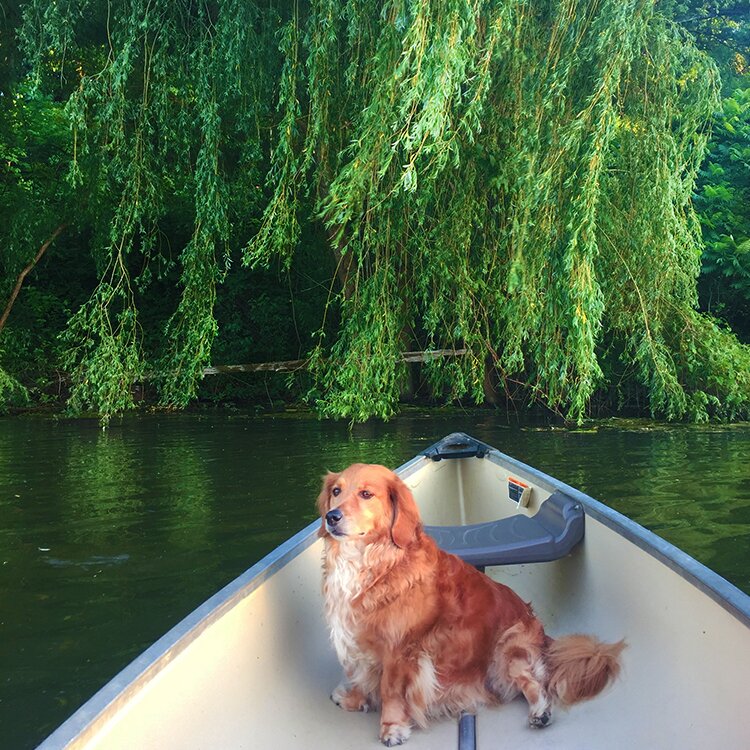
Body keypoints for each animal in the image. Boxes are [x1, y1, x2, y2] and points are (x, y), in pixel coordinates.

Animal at [320, 464, 624, 748]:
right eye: (336, 491)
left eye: (366, 494)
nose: (331, 517)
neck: (374, 561)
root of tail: (542, 633)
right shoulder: (359, 640)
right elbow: (362, 675)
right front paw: (355, 698)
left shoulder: (400, 649)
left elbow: (390, 690)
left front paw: (392, 727)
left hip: (508, 649)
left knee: (535, 684)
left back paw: (540, 712)